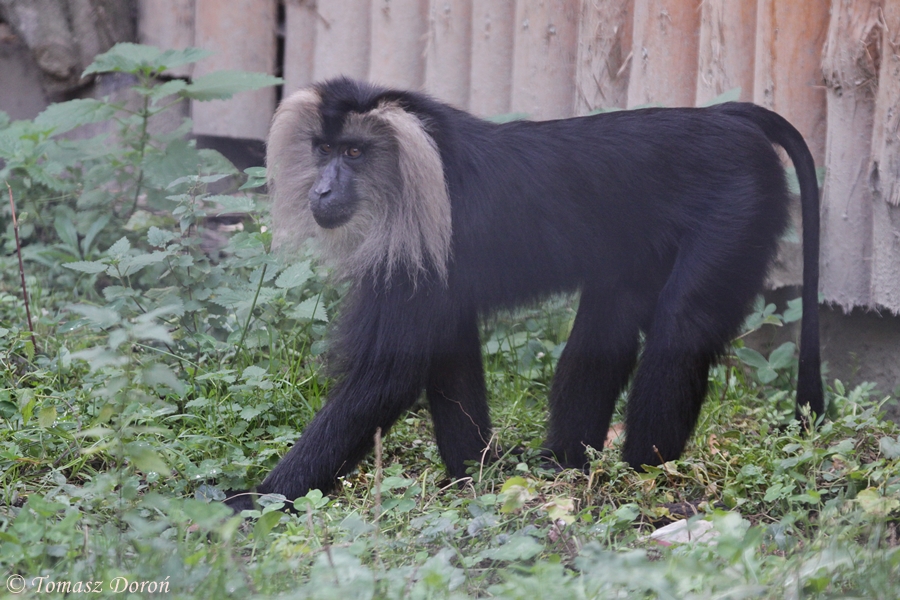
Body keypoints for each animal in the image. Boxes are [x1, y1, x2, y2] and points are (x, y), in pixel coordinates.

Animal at [225, 77, 823, 511]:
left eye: (353, 153)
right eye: (323, 148)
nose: (322, 189)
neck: (416, 166)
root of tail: (724, 118)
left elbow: (385, 377)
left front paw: (250, 502)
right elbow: (447, 355)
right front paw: (473, 474)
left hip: (739, 206)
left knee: (684, 325)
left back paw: (641, 476)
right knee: (609, 318)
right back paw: (563, 464)